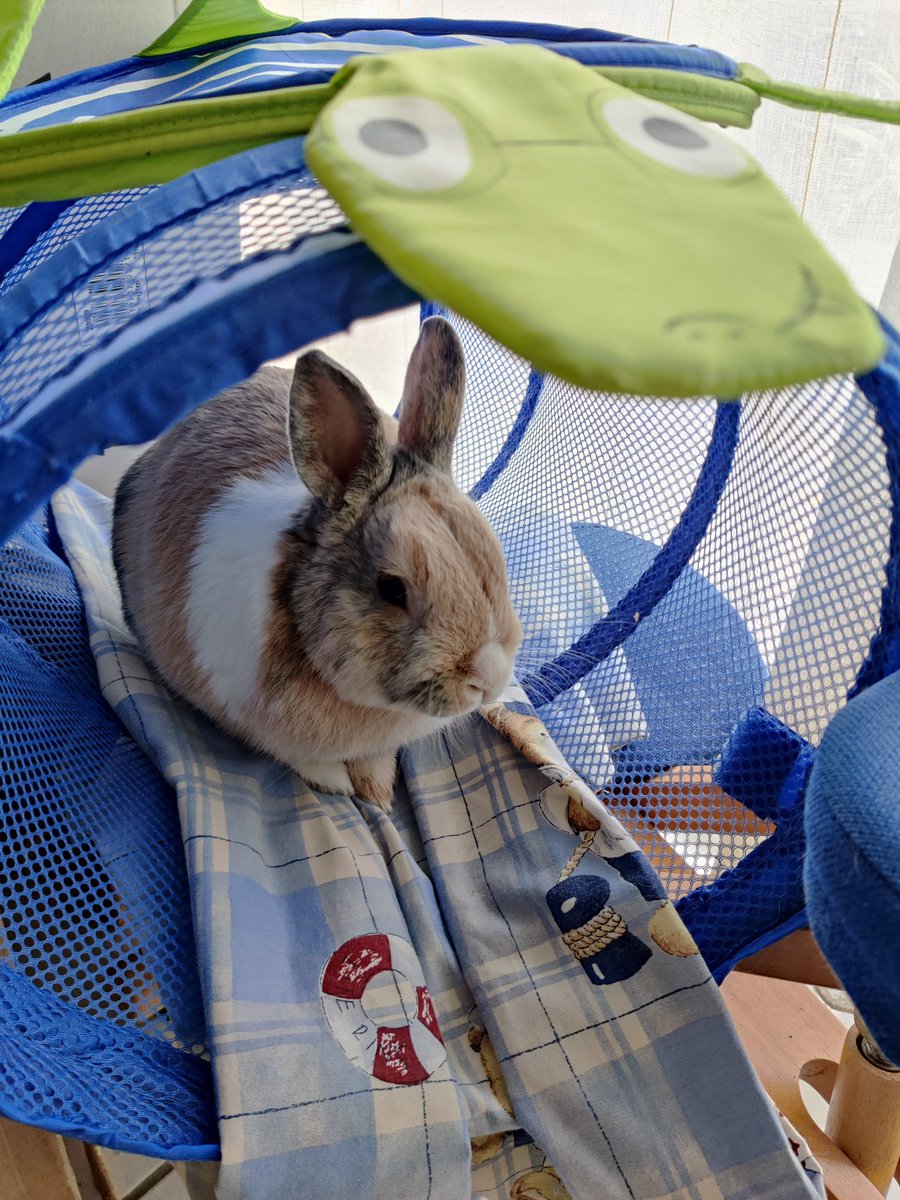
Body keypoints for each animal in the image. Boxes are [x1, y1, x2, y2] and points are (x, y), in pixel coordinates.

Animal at [112, 316, 523, 810]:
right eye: (392, 589)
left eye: (495, 558)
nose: (489, 680)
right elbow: (299, 758)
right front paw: (340, 786)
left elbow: (374, 760)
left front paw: (377, 791)